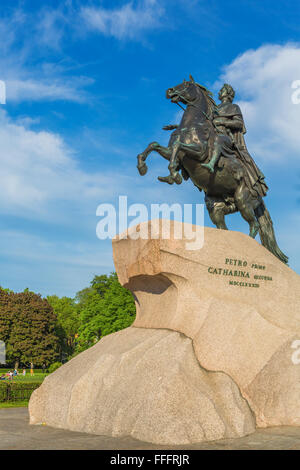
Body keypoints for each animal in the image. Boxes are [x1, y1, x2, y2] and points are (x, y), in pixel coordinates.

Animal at [138, 75, 288, 262]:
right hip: (216, 208)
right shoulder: (171, 152)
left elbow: (178, 148)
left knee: (254, 225)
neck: (192, 124)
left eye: (186, 84)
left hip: (243, 201)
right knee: (224, 227)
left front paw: (174, 175)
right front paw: (143, 166)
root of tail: (260, 196)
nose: (169, 91)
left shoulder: (199, 152)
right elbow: (155, 145)